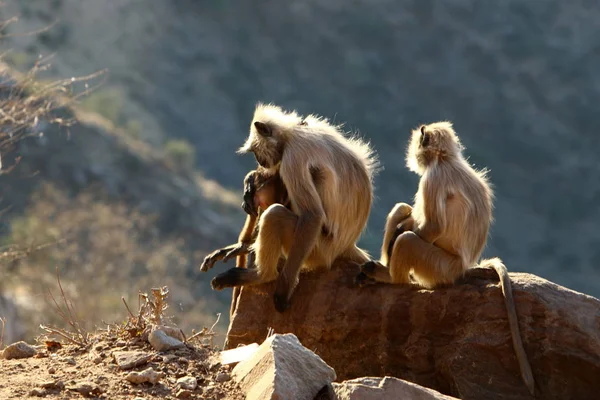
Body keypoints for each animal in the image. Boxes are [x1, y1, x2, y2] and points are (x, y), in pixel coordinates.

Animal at [204, 103, 378, 312]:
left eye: (256, 151)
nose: (260, 161)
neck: (291, 134)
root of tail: (346, 246)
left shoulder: (293, 156)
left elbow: (312, 215)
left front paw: (282, 291)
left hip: (317, 251)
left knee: (275, 214)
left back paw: (261, 275)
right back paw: (245, 246)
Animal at [356, 120, 536, 396]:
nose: (413, 153)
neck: (445, 160)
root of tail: (463, 267)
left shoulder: (433, 179)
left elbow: (433, 228)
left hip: (438, 267)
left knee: (408, 240)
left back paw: (392, 278)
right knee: (402, 210)